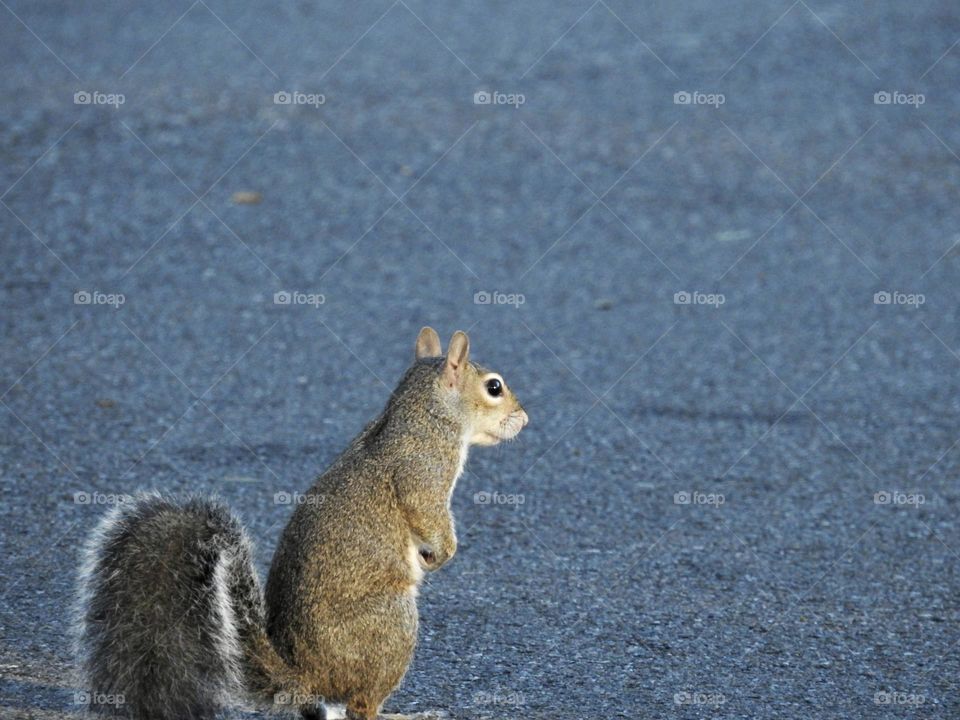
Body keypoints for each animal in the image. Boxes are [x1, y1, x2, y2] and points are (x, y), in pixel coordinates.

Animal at [75, 330, 528, 720]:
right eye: (494, 387)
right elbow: (427, 513)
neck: (425, 414)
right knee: (360, 707)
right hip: (392, 626)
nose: (524, 419)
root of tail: (305, 677)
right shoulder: (424, 472)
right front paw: (442, 554)